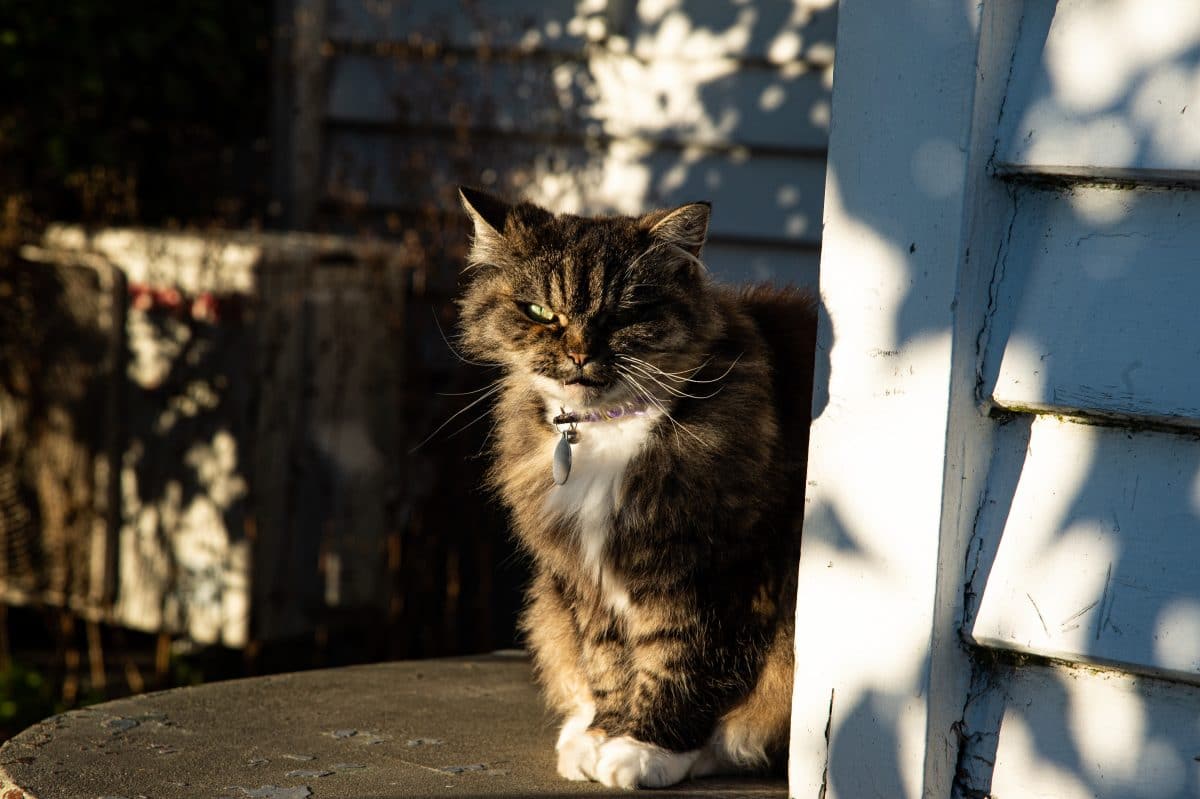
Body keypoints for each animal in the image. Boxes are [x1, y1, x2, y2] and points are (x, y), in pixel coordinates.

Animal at [451, 188, 816, 791]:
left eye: (624, 313)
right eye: (540, 313)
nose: (578, 353)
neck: (606, 433)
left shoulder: (715, 573)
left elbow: (684, 661)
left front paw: (645, 748)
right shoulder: (585, 577)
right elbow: (607, 660)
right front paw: (603, 733)